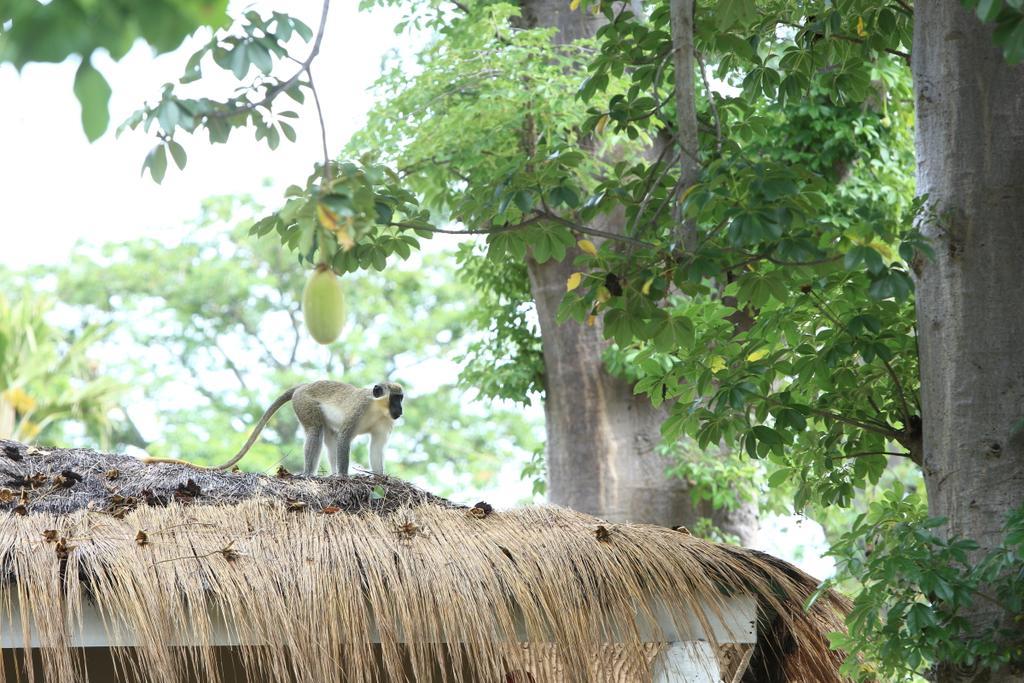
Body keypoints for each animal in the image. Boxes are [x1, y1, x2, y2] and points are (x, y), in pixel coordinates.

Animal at [142, 382, 405, 479]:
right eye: (396, 398)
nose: (400, 409)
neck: (377, 408)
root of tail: (304, 385)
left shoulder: (385, 423)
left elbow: (377, 446)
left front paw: (380, 477)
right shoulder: (359, 408)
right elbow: (344, 438)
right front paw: (343, 476)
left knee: (327, 435)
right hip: (304, 403)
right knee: (316, 431)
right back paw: (309, 474)